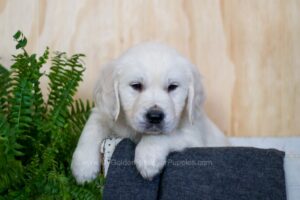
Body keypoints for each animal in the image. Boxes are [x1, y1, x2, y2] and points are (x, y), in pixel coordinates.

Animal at [71, 43, 227, 184]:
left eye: (172, 87)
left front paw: (148, 158)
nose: (155, 117)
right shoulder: (106, 112)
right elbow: (91, 128)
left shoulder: (193, 136)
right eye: (136, 85)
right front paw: (83, 166)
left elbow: (163, 135)